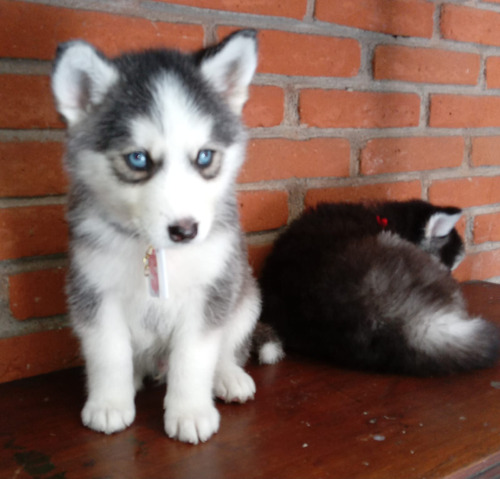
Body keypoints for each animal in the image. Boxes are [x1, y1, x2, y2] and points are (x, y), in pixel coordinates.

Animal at [52, 31, 260, 446]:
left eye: (205, 156)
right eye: (138, 159)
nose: (185, 230)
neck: (156, 250)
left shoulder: (210, 289)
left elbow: (195, 356)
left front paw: (190, 412)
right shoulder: (93, 289)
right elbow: (108, 352)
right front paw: (109, 404)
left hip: (245, 296)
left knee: (228, 346)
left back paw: (228, 376)